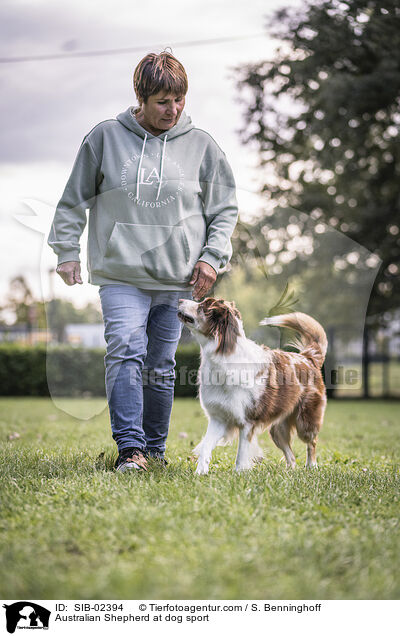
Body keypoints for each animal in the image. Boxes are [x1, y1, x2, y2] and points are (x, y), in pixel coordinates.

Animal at [178, 296, 328, 472]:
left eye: (202, 306)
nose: (179, 299)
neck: (222, 355)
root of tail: (308, 357)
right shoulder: (219, 417)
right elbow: (206, 447)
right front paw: (200, 472)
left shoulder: (248, 422)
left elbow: (241, 454)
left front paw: (238, 473)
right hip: (277, 430)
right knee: (290, 456)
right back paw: (289, 471)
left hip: (305, 422)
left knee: (312, 443)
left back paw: (312, 466)